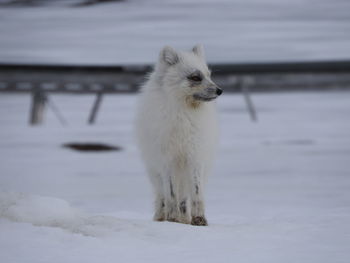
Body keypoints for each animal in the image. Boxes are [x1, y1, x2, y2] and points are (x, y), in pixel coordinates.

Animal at [135, 44, 223, 226]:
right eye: (195, 77)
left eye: (209, 75)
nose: (220, 91)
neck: (184, 115)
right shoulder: (167, 160)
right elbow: (171, 194)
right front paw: (172, 219)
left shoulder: (195, 157)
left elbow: (196, 193)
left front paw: (199, 220)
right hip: (155, 172)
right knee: (162, 196)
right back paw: (163, 217)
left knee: (184, 198)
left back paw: (185, 220)